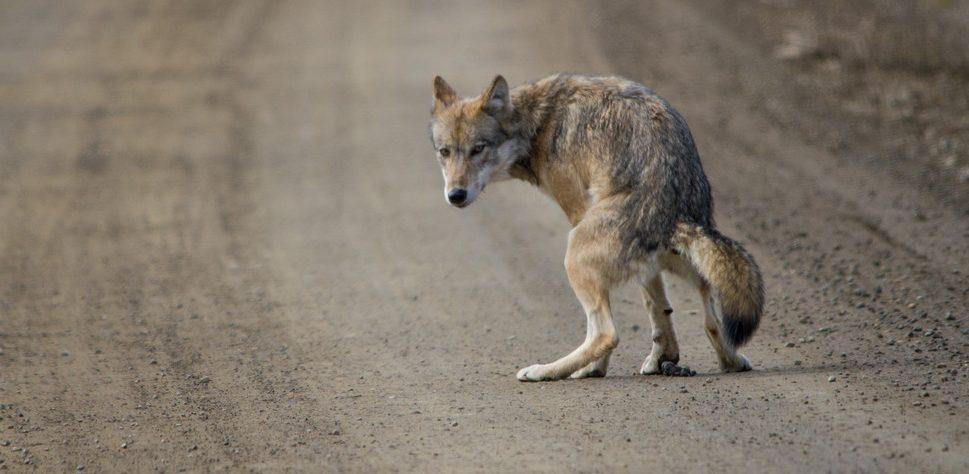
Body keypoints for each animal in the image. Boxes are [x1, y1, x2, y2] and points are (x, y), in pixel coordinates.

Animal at [428, 73, 764, 381]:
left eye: (478, 149)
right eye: (445, 152)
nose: (455, 195)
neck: (538, 124)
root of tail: (677, 213)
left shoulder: (577, 210)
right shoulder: (648, 270)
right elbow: (658, 308)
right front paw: (662, 358)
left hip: (574, 255)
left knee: (606, 334)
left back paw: (553, 371)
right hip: (688, 267)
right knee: (711, 322)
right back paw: (728, 362)